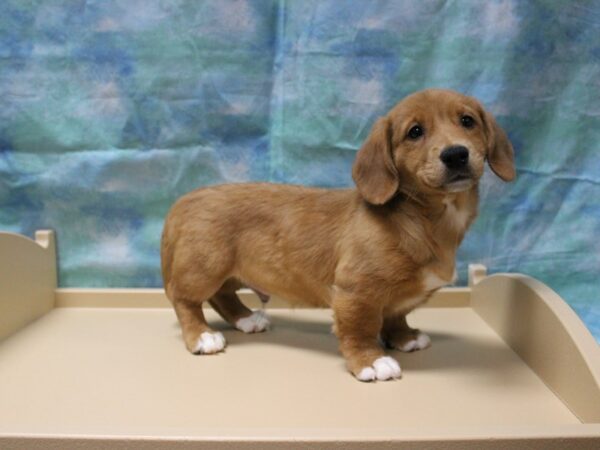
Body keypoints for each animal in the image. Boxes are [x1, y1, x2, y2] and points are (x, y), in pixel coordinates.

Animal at [161, 89, 516, 382]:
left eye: (467, 121)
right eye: (415, 132)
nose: (456, 154)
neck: (419, 218)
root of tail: (186, 200)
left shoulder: (396, 300)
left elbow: (397, 315)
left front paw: (405, 338)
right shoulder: (355, 292)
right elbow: (360, 329)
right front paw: (371, 361)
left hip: (226, 273)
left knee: (222, 296)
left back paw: (246, 319)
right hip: (204, 269)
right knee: (184, 299)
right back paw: (202, 336)